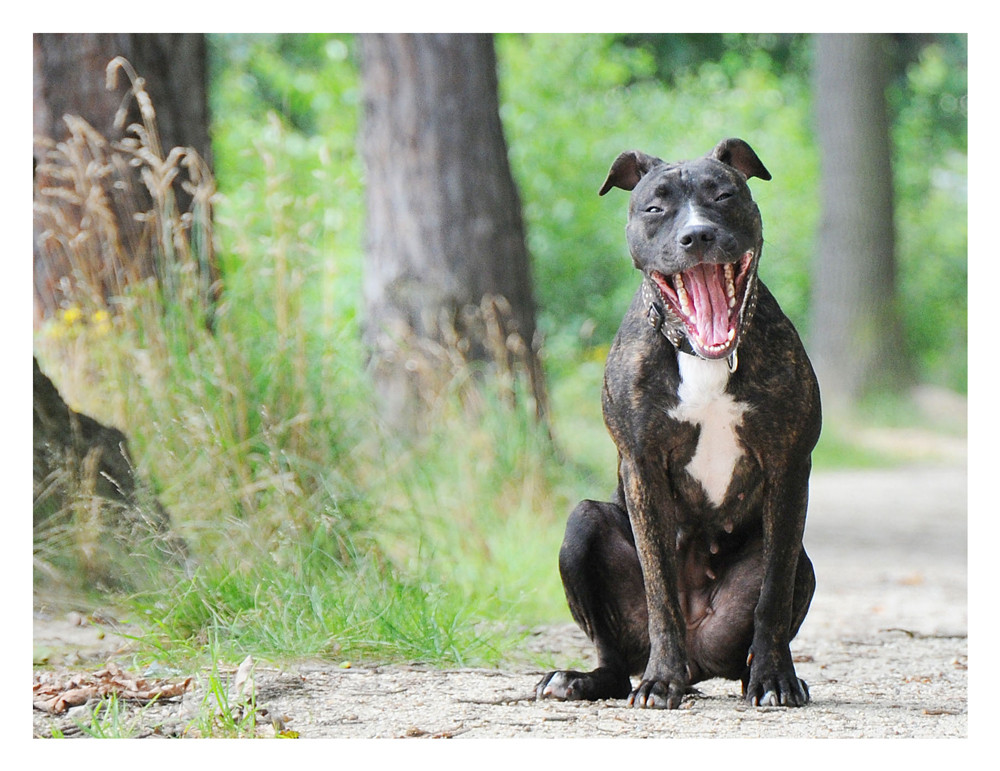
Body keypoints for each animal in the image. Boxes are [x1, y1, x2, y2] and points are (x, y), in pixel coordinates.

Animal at [540, 140, 820, 712]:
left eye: (724, 195)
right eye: (655, 208)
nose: (697, 235)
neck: (702, 356)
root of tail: (699, 662)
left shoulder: (789, 465)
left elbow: (773, 594)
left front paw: (776, 680)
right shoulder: (642, 466)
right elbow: (660, 589)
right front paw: (660, 681)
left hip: (797, 566)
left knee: (763, 618)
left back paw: (761, 674)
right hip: (582, 525)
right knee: (615, 660)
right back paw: (582, 679)